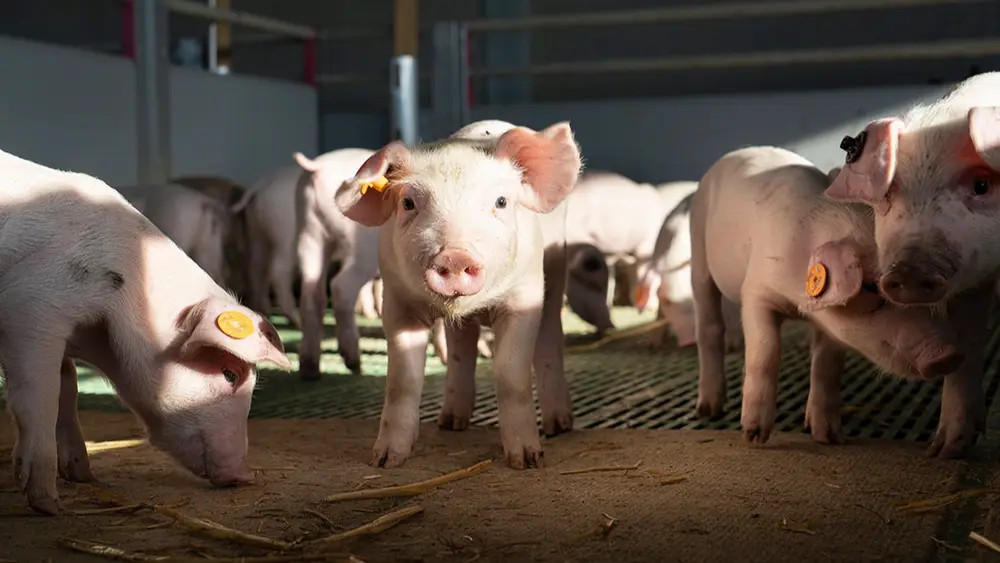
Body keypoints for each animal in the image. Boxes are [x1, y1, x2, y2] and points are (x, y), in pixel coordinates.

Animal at [0, 149, 292, 516]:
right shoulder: (30, 306)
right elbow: (41, 397)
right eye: (230, 374)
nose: (245, 475)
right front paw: (49, 506)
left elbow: (68, 389)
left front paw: (84, 476)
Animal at [332, 120, 584, 472]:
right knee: (461, 349)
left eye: (501, 201)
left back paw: (559, 426)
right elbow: (403, 380)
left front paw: (526, 460)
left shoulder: (523, 297)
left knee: (549, 338)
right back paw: (451, 422)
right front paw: (385, 460)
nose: (454, 255)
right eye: (408, 203)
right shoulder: (397, 301)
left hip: (555, 270)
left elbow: (510, 373)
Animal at [692, 145, 964, 450]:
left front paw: (830, 438)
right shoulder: (755, 291)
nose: (948, 354)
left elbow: (827, 365)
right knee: (708, 324)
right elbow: (766, 351)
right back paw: (708, 410)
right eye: (871, 288)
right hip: (697, 249)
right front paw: (754, 437)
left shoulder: (830, 321)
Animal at [824, 71, 1000, 458]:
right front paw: (944, 451)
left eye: (982, 185)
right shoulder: (973, 284)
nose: (908, 272)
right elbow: (967, 341)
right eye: (889, 193)